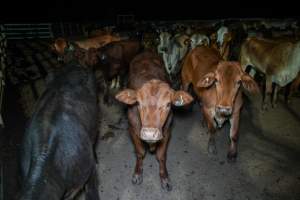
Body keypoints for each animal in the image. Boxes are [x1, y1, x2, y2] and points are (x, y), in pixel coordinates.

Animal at [113, 50, 193, 191]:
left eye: (168, 104)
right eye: (138, 103)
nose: (150, 133)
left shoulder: (167, 131)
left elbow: (161, 156)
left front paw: (164, 177)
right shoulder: (132, 130)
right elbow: (140, 153)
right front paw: (138, 173)